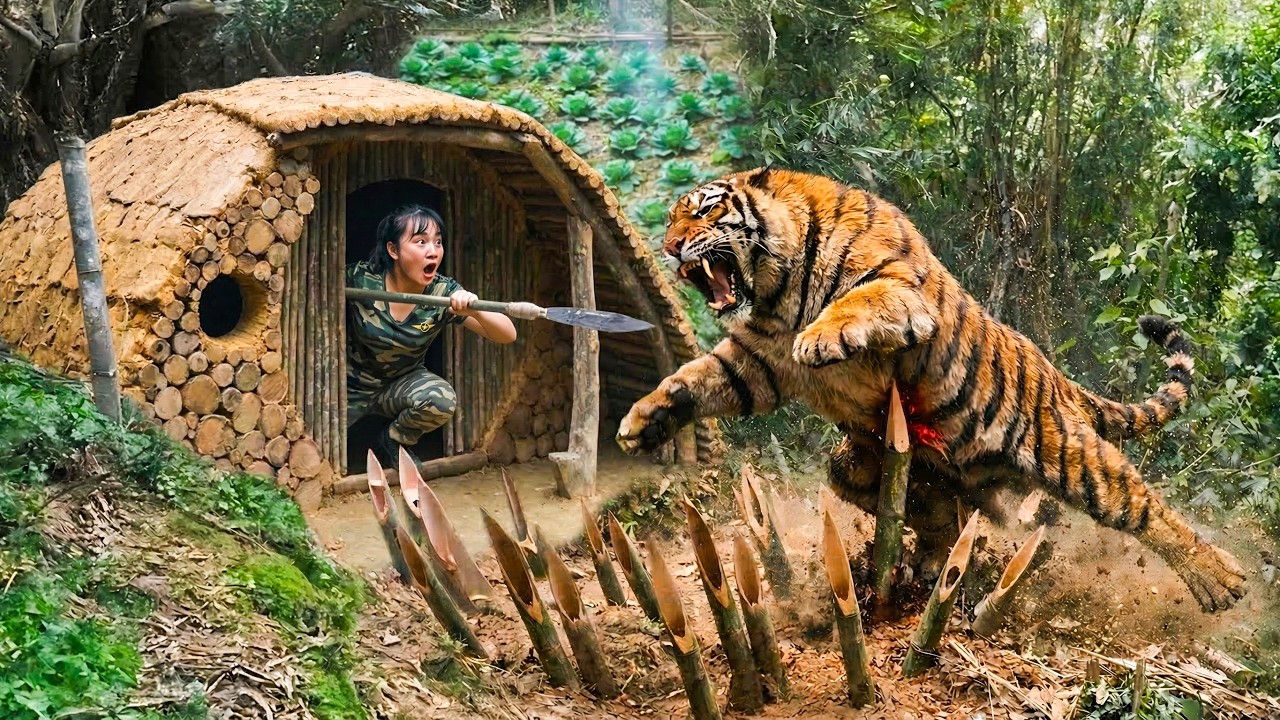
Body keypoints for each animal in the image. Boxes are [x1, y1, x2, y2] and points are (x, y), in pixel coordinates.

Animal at [617, 166, 1247, 612]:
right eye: (671, 223)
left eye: (707, 209)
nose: (670, 249)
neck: (776, 287)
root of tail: (1061, 381)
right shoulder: (754, 363)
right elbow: (694, 380)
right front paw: (642, 421)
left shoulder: (899, 290)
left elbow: (855, 302)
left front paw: (819, 339)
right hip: (890, 467)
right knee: (943, 515)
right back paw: (929, 567)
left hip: (1070, 454)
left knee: (1144, 510)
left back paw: (1223, 581)